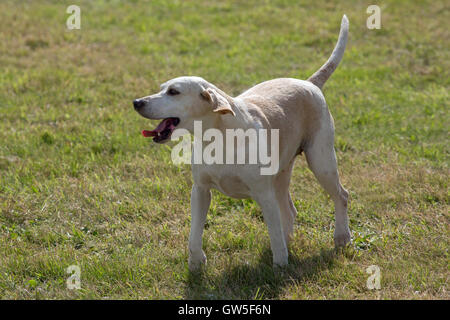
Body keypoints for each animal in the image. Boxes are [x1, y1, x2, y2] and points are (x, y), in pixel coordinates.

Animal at [134, 15, 352, 270]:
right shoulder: (200, 191)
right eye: (161, 89)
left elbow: (274, 233)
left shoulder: (264, 194)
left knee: (341, 196)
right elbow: (194, 233)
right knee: (290, 211)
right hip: (282, 176)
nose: (137, 102)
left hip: (321, 162)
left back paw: (341, 237)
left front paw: (279, 267)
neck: (219, 138)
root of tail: (310, 83)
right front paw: (196, 264)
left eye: (173, 92)